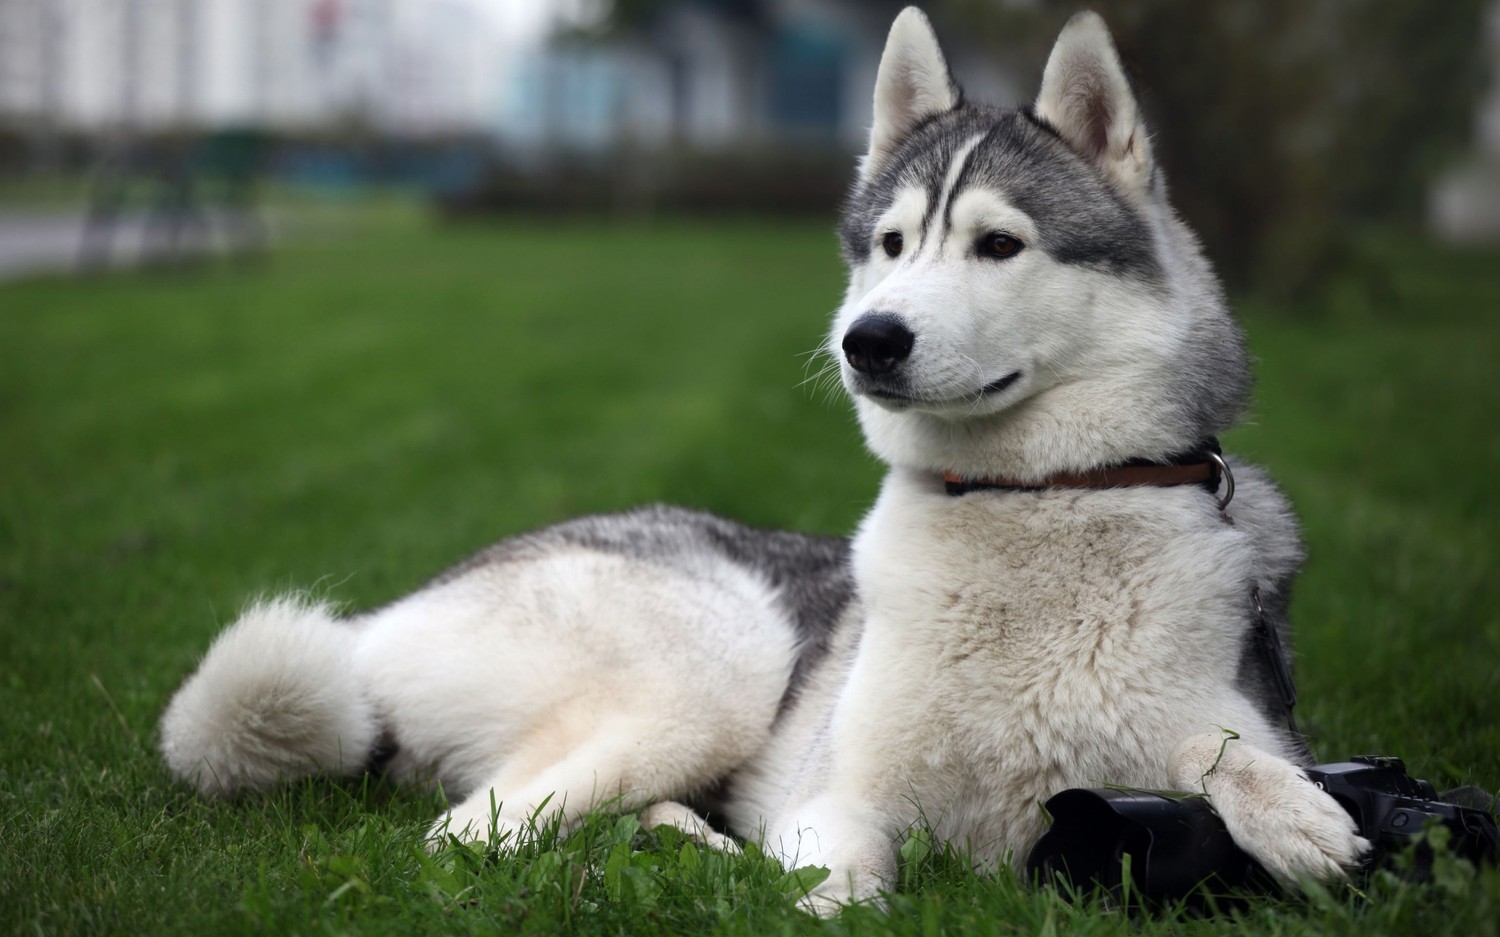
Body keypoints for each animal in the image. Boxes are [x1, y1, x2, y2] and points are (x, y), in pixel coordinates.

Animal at [161, 7, 1374, 911]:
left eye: (999, 244)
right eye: (891, 243)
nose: (868, 339)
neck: (1029, 500)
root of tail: (388, 617)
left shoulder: (1214, 717)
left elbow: (1225, 747)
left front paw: (1292, 810)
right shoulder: (837, 800)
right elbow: (852, 885)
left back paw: (678, 840)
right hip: (720, 662)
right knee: (468, 836)